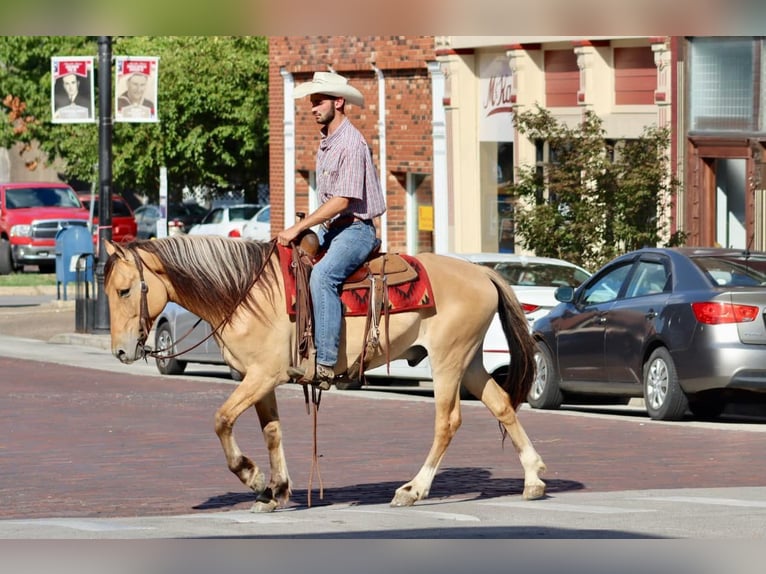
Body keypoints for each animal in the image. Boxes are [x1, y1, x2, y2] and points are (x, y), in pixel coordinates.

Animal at [103, 234, 547, 512]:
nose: (121, 351)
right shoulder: (260, 380)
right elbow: (272, 432)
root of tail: (482, 271)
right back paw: (533, 479)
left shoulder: (261, 376)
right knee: (502, 406)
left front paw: (252, 477)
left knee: (447, 421)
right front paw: (275, 491)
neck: (245, 292)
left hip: (448, 361)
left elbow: (222, 420)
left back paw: (413, 489)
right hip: (468, 361)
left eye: (125, 290)